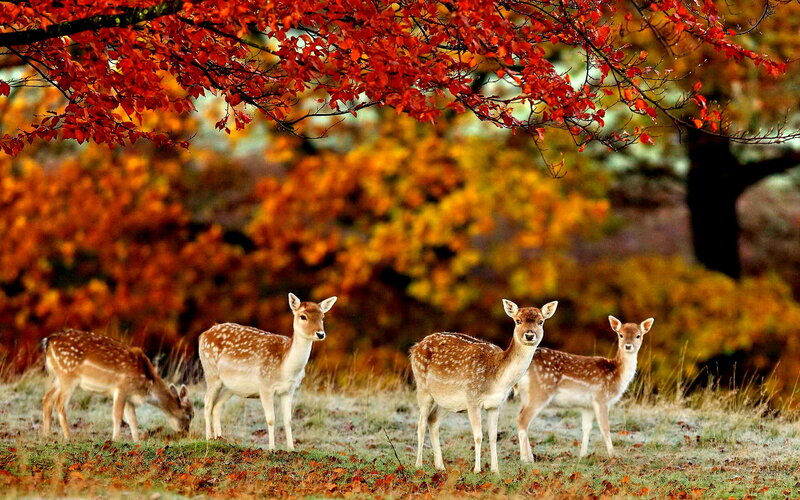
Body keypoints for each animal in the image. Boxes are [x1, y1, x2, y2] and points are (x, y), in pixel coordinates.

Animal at [41, 329, 194, 441]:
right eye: (190, 415)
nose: (186, 433)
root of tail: (48, 342)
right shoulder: (121, 388)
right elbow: (117, 415)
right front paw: (115, 439)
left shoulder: (129, 396)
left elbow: (132, 419)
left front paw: (137, 441)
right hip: (68, 375)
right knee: (59, 404)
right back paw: (68, 437)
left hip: (57, 378)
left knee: (47, 398)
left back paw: (47, 435)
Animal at [198, 293, 337, 448]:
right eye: (303, 316)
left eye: (322, 316)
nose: (320, 334)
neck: (285, 368)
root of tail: (203, 335)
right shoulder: (264, 386)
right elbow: (271, 419)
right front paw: (272, 448)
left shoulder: (289, 389)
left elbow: (288, 420)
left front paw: (291, 448)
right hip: (211, 372)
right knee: (207, 403)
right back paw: (208, 438)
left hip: (229, 386)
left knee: (217, 406)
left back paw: (220, 439)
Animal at [409, 299, 558, 473]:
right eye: (518, 320)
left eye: (541, 321)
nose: (529, 335)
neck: (497, 380)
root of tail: (415, 347)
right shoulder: (472, 399)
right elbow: (478, 435)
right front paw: (477, 470)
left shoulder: (495, 405)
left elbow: (492, 436)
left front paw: (495, 470)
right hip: (422, 387)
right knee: (421, 424)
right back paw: (418, 464)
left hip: (446, 401)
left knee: (432, 420)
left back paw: (440, 466)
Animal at [516, 315, 654, 461]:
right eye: (620, 335)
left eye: (638, 336)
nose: (628, 346)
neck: (616, 374)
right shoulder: (601, 398)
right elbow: (605, 427)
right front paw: (613, 455)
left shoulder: (587, 405)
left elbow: (586, 428)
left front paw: (582, 455)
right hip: (540, 391)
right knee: (522, 420)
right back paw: (525, 459)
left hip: (526, 395)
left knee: (522, 419)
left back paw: (531, 457)